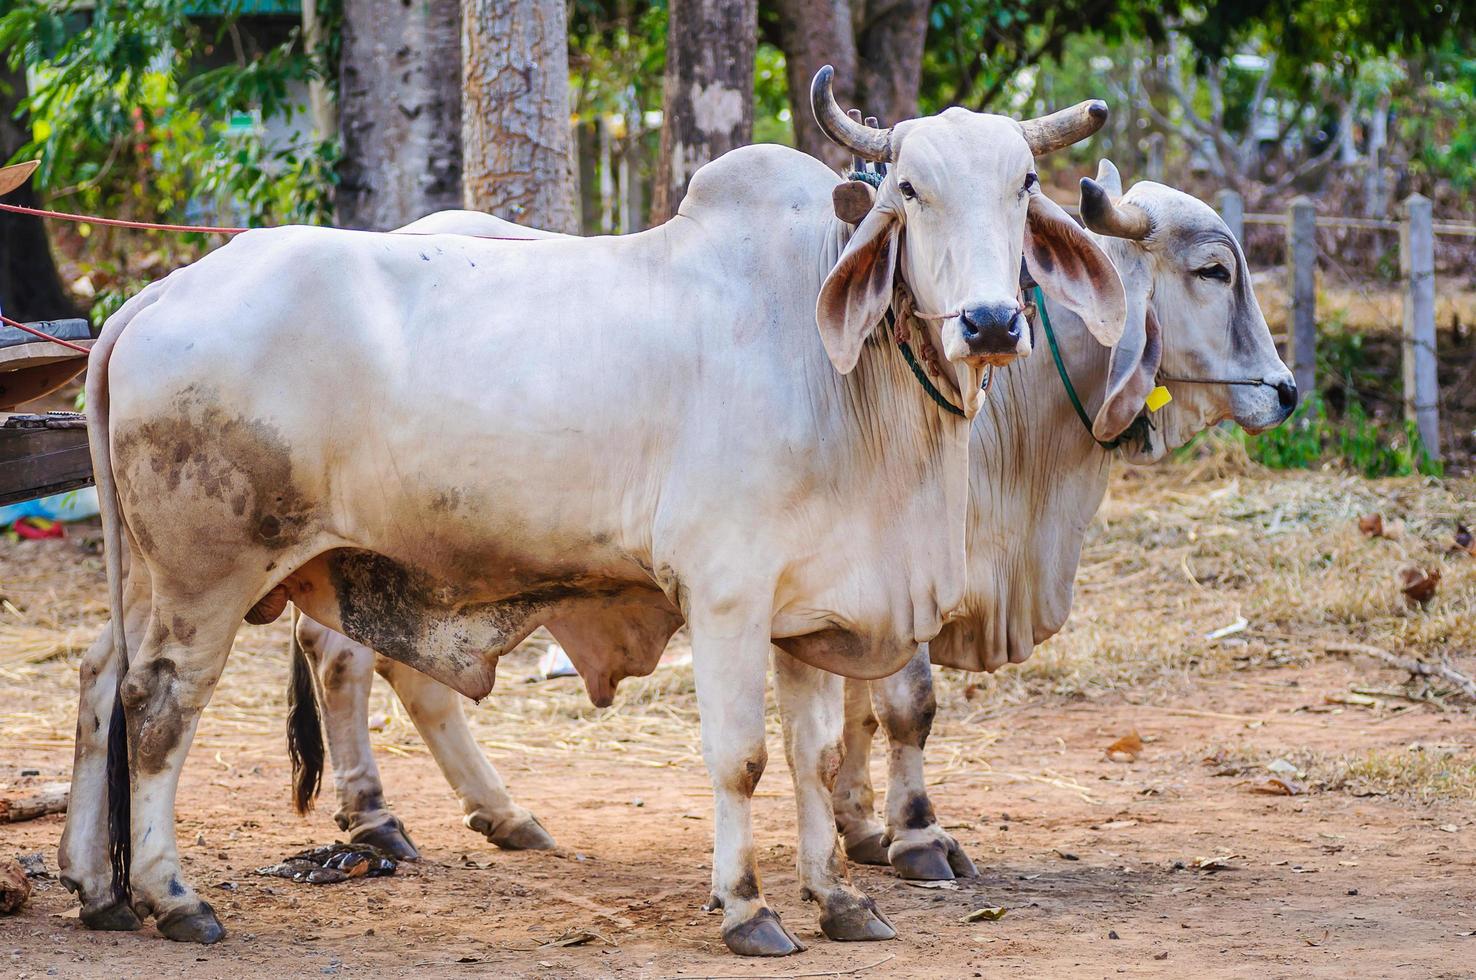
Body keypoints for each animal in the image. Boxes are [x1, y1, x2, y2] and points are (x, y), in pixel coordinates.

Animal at [54, 70, 1127, 956]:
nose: (991, 322)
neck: (841, 374)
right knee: (161, 707)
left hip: (150, 575)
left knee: (103, 681)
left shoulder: (812, 610)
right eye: (908, 188)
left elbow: (816, 759)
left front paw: (842, 902)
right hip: (210, 572)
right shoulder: (727, 597)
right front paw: (748, 909)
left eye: (1027, 182)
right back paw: (174, 898)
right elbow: (741, 759)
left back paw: (96, 886)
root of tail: (152, 301)